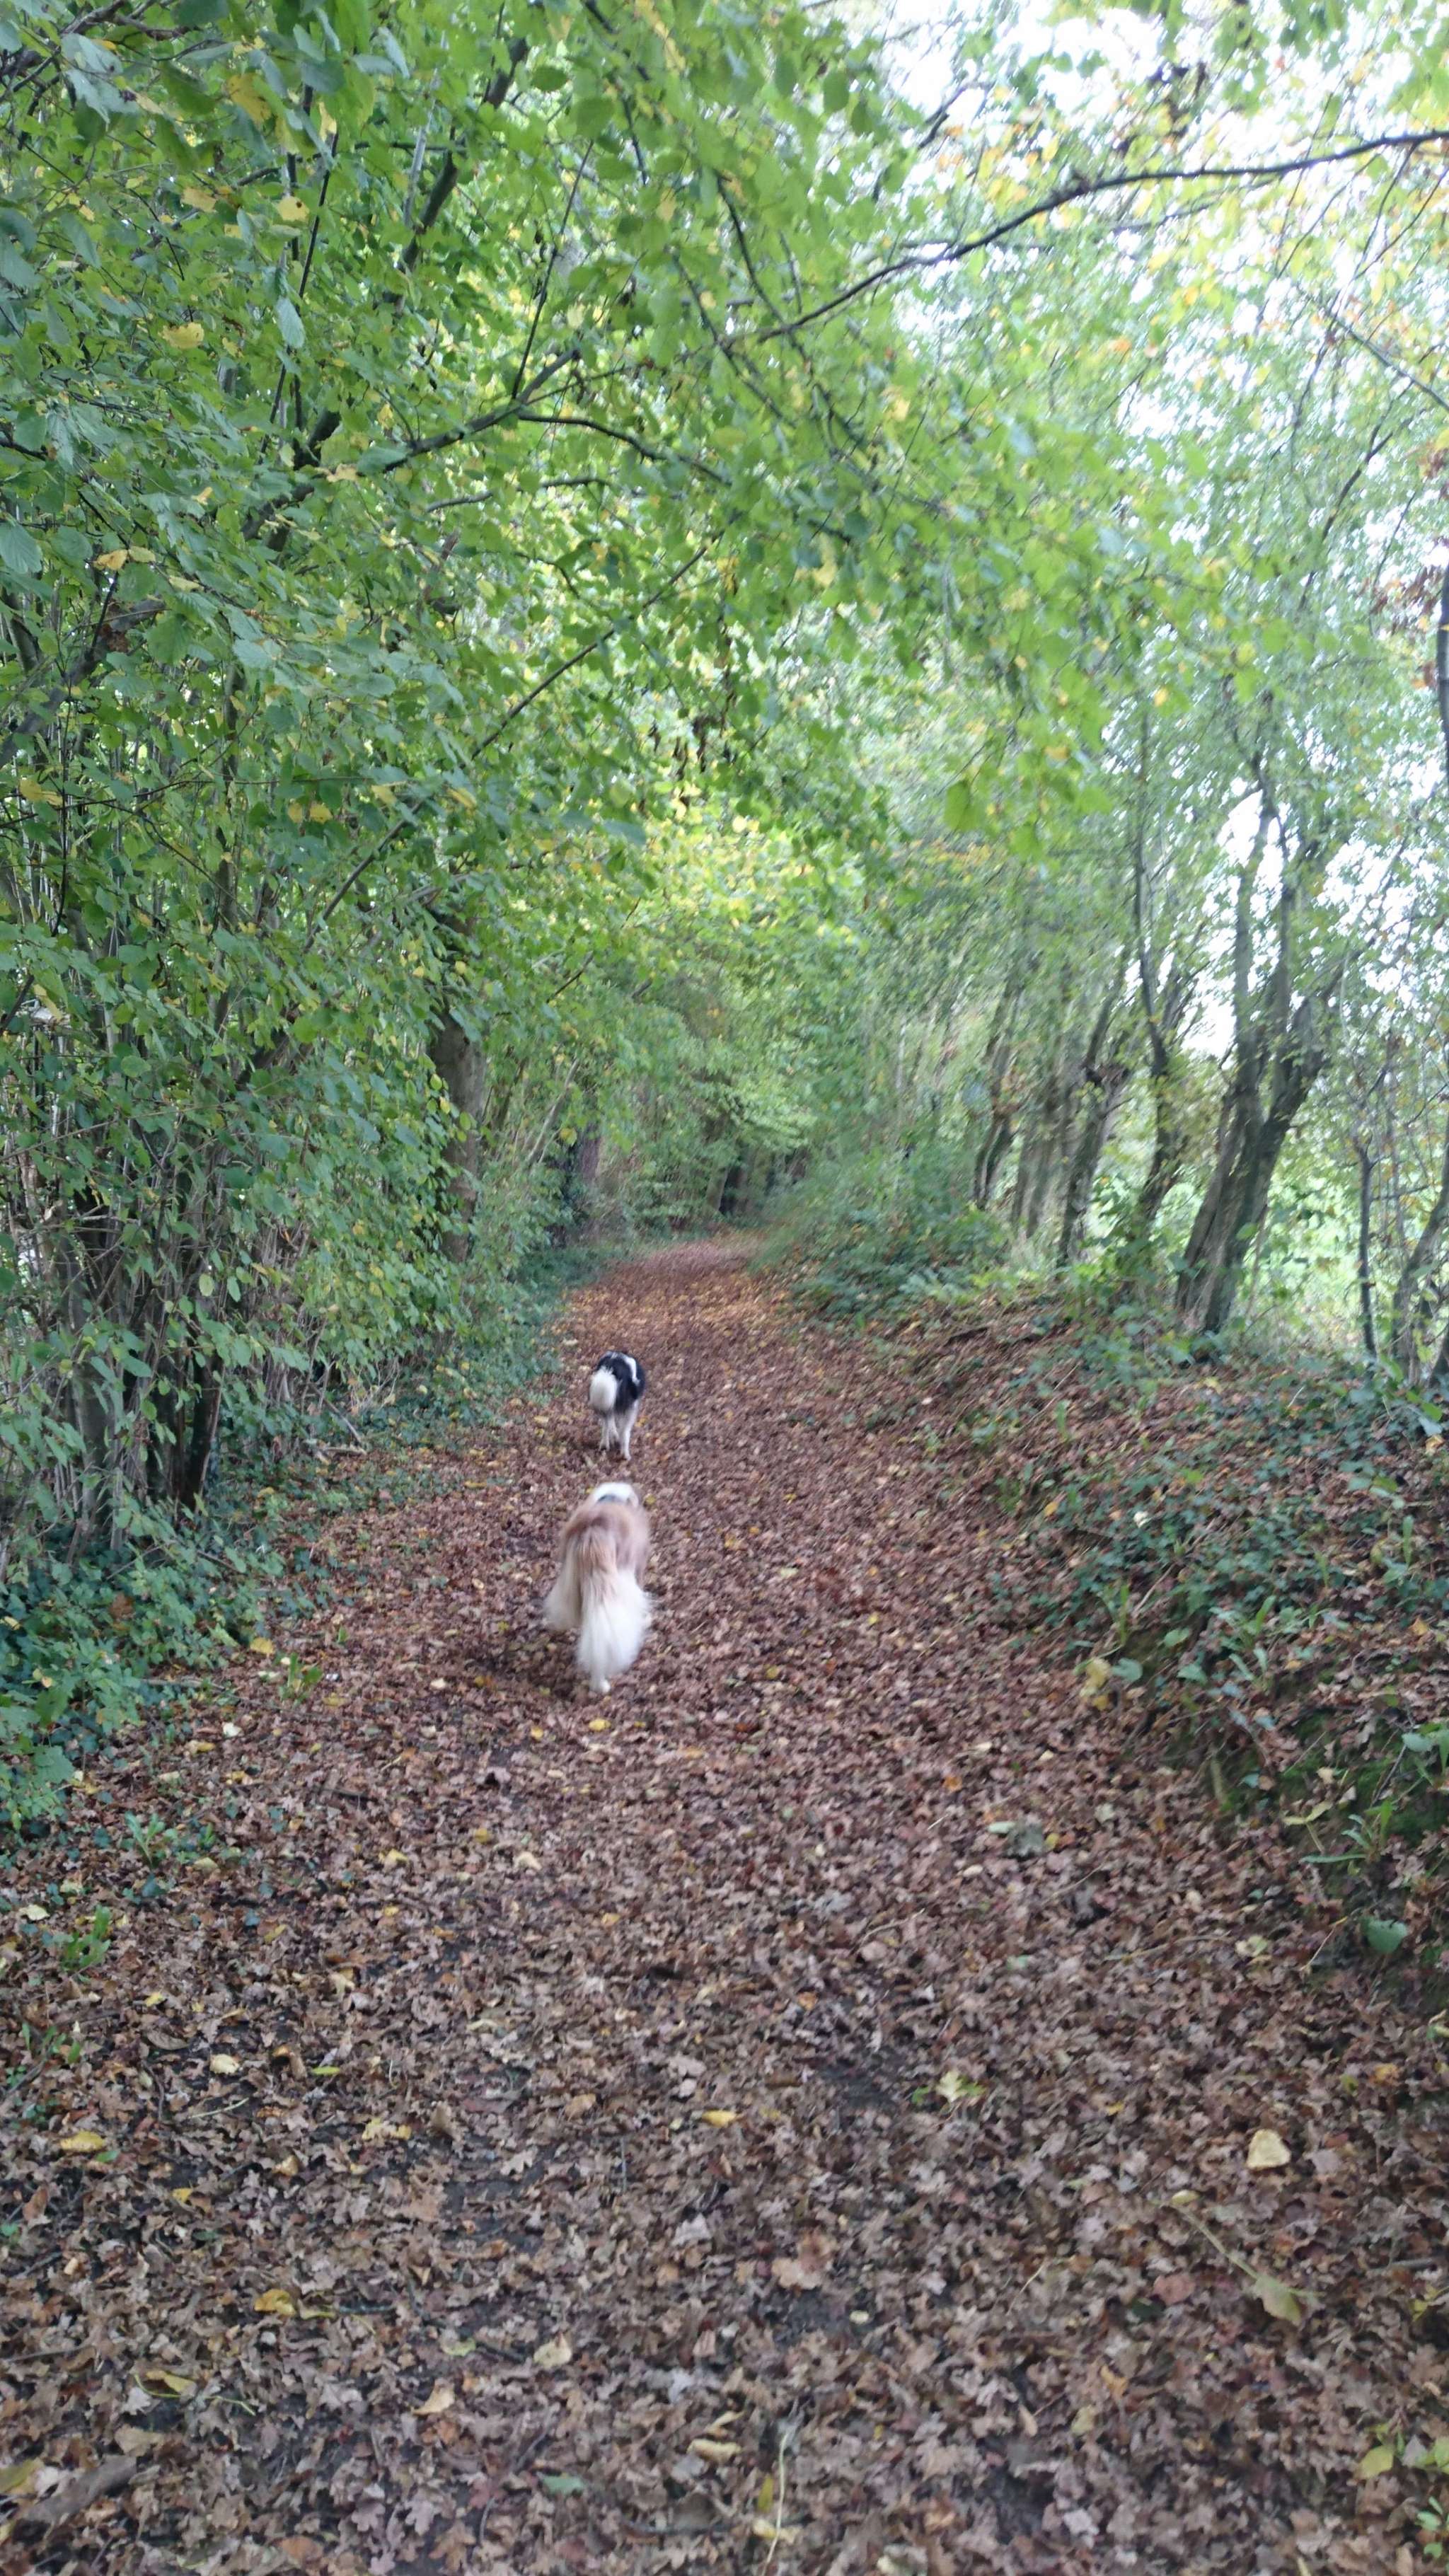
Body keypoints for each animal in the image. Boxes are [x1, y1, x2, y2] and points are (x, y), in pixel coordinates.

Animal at [588, 1350, 646, 1460]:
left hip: (605, 1404)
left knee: (606, 1426)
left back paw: (605, 1445)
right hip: (628, 1410)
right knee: (624, 1431)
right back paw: (625, 1454)